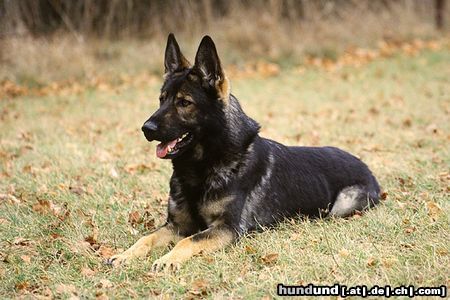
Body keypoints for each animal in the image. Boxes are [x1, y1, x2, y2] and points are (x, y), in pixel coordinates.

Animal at [107, 34, 382, 270]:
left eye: (184, 102)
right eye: (161, 100)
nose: (146, 128)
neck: (203, 165)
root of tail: (367, 168)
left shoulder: (227, 228)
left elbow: (189, 240)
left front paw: (167, 259)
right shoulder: (175, 225)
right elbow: (146, 238)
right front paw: (124, 255)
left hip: (340, 208)